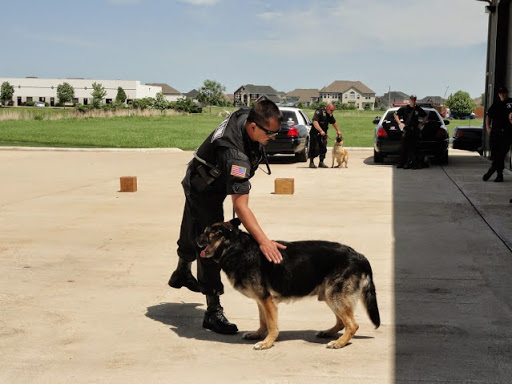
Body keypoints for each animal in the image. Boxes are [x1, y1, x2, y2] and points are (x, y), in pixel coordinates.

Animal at [196, 219, 380, 348]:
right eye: (203, 232)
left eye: (210, 234)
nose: (195, 239)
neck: (237, 249)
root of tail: (359, 255)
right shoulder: (261, 300)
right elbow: (263, 321)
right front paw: (258, 334)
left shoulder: (267, 301)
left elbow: (271, 324)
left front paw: (267, 343)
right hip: (330, 296)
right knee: (342, 321)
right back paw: (328, 333)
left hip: (335, 296)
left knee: (352, 325)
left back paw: (339, 343)